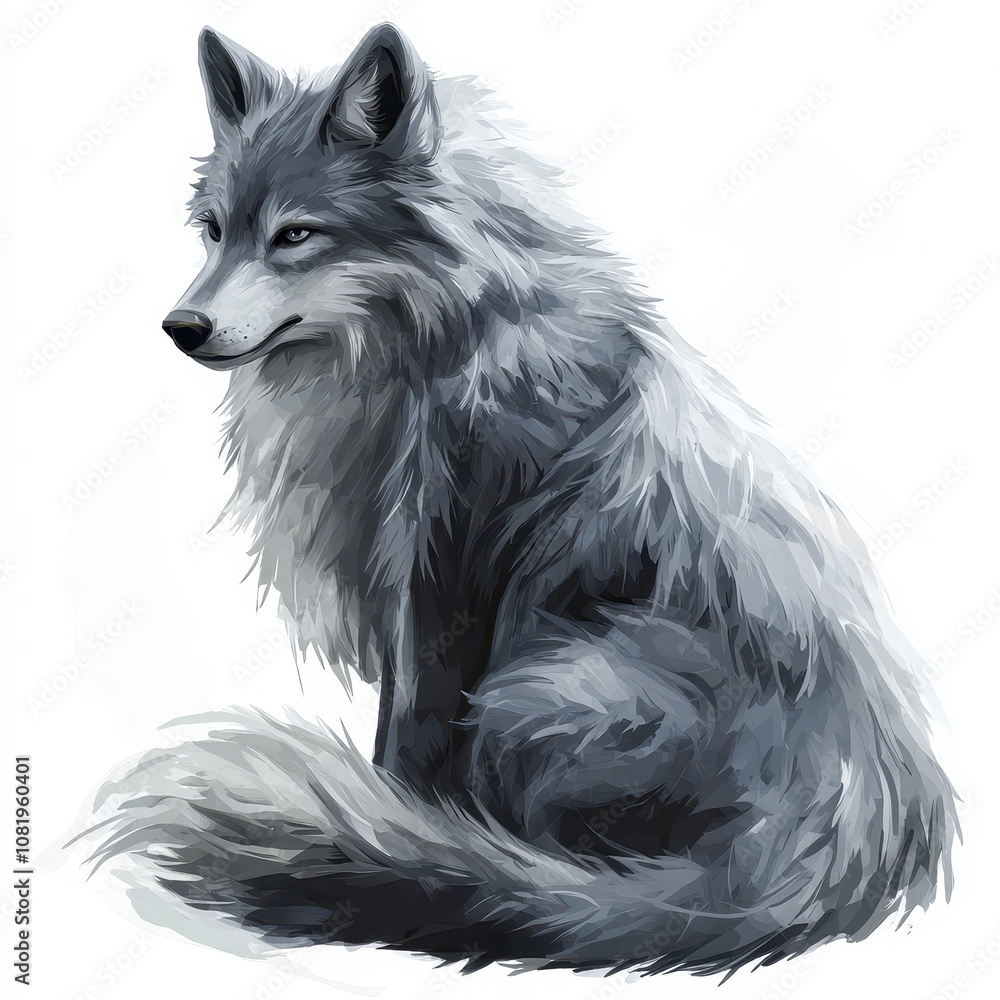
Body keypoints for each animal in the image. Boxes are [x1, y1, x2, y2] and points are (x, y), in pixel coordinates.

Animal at [86, 23, 957, 976]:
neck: (440, 348)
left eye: (296, 235)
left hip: (541, 689)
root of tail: (854, 846)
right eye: (213, 232)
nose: (182, 328)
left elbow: (406, 741)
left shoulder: (443, 577)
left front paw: (387, 830)